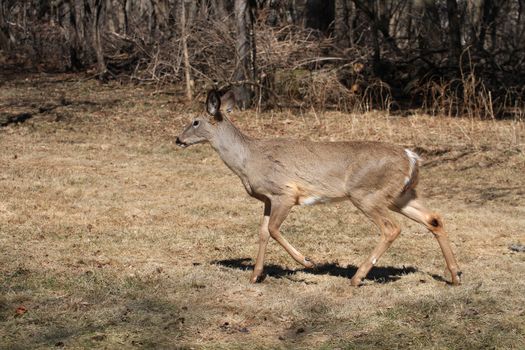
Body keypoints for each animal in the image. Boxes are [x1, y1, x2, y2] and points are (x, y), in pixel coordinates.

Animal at [175, 90, 458, 288]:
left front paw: (307, 262)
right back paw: (455, 275)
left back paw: (356, 278)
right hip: (400, 195)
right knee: (434, 219)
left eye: (195, 121)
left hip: (366, 194)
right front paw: (255, 275)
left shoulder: (285, 192)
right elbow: (263, 232)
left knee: (392, 228)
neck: (247, 160)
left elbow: (274, 230)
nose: (178, 139)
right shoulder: (267, 199)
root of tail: (412, 157)